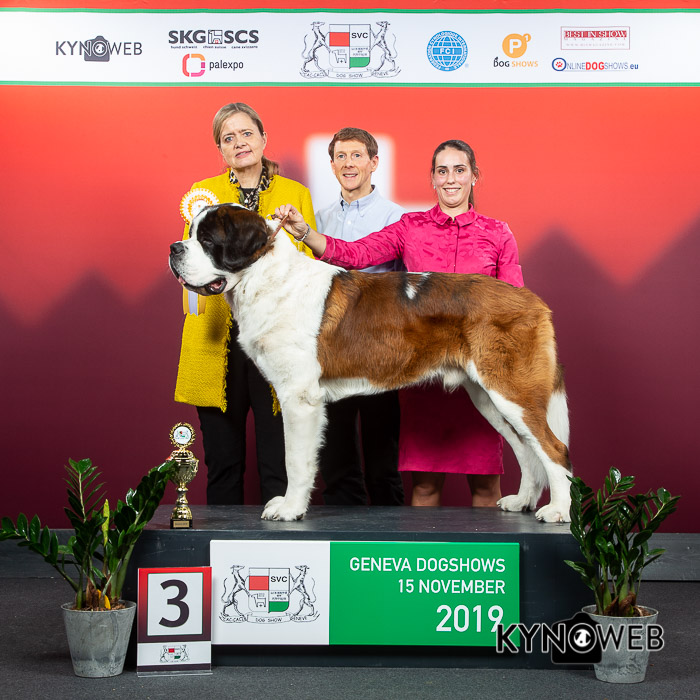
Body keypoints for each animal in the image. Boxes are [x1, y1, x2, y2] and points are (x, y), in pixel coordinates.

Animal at [170, 204, 572, 523]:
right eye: (190, 234)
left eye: (208, 240)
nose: (174, 248)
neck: (265, 277)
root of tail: (532, 299)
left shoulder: (300, 399)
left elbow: (295, 459)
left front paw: (290, 509)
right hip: (489, 397)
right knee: (526, 448)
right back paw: (522, 501)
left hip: (512, 392)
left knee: (554, 449)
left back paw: (558, 512)